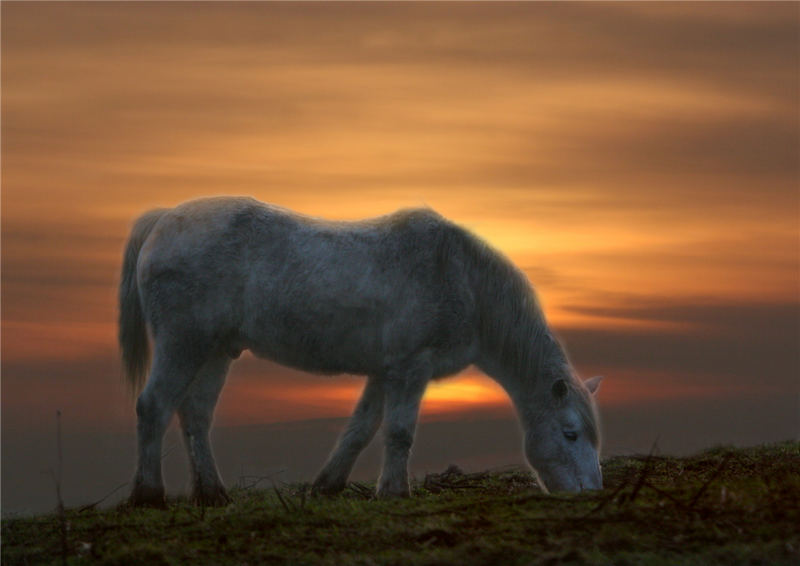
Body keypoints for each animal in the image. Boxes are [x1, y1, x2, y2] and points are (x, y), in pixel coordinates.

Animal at [119, 197, 604, 508]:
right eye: (570, 434)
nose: (591, 493)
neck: (461, 277)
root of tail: (163, 221)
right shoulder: (411, 369)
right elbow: (399, 432)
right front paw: (395, 492)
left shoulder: (385, 372)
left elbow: (361, 428)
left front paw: (327, 486)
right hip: (183, 343)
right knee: (153, 406)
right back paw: (149, 496)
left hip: (215, 350)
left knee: (195, 415)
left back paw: (212, 494)